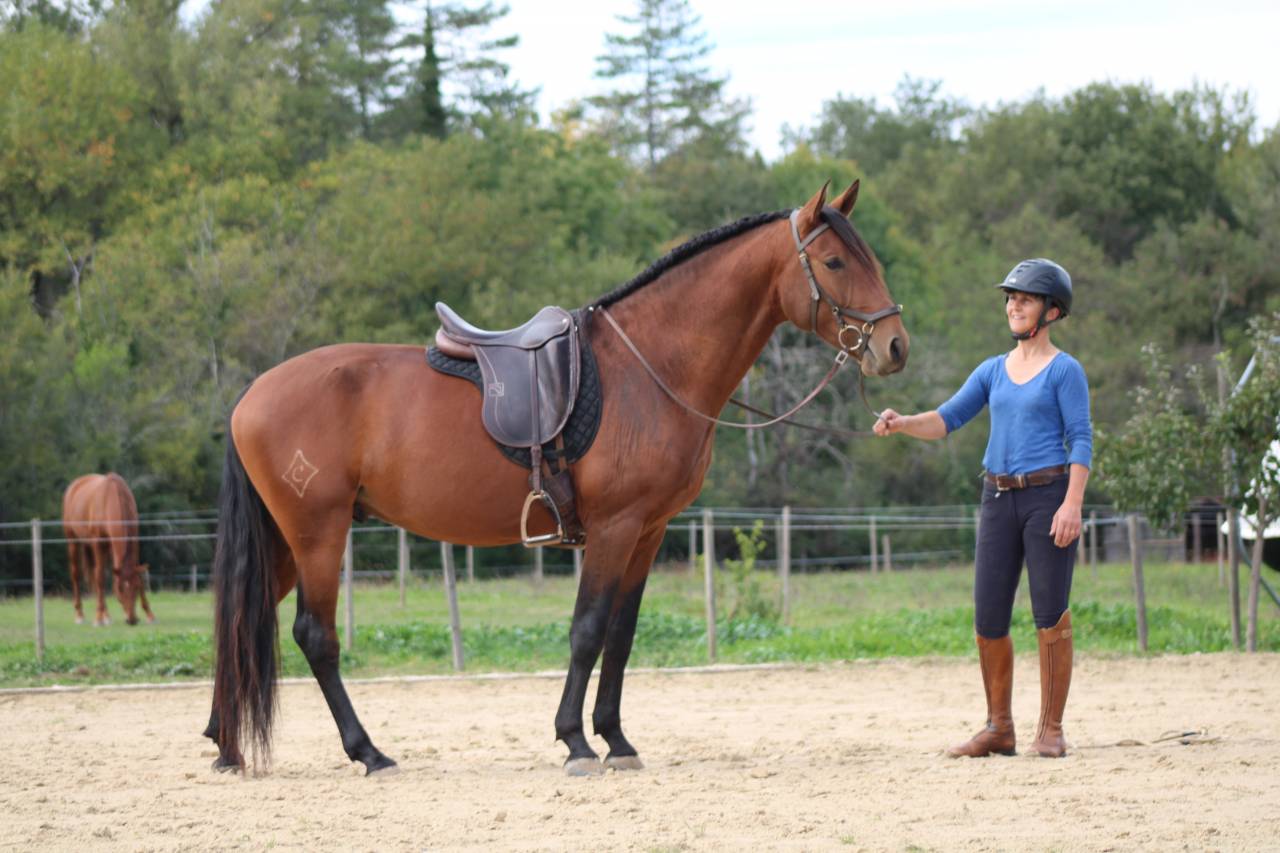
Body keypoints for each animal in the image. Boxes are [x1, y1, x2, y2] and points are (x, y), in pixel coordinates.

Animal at [61, 473, 155, 626]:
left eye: (136, 587)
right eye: (120, 589)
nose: (132, 619)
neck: (111, 499)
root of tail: (75, 485)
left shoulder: (133, 539)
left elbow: (137, 574)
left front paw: (150, 614)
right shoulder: (98, 542)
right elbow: (99, 577)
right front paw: (98, 618)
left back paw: (106, 614)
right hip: (73, 541)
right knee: (77, 575)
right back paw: (81, 615)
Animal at [205, 182, 909, 775]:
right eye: (836, 263)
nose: (895, 347)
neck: (651, 366)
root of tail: (251, 394)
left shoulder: (648, 531)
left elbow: (621, 636)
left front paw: (616, 739)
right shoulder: (615, 527)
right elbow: (588, 629)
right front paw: (575, 741)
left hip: (288, 540)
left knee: (240, 623)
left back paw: (226, 745)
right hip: (318, 534)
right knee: (314, 635)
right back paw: (367, 752)